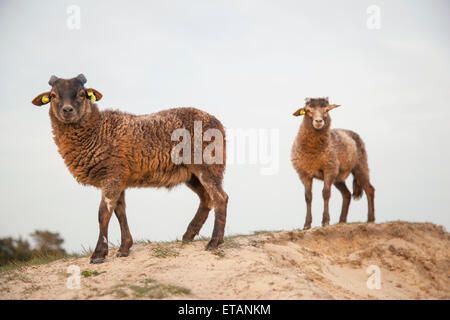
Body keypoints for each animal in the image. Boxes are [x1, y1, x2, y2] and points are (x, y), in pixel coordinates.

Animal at [31, 74, 229, 264]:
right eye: (53, 96)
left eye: (82, 94)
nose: (67, 110)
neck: (96, 129)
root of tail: (218, 124)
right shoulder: (119, 178)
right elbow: (120, 211)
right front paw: (124, 248)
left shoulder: (112, 174)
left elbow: (104, 213)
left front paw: (99, 254)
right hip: (191, 174)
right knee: (206, 199)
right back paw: (188, 235)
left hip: (207, 165)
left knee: (220, 198)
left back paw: (214, 242)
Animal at [290, 96, 374, 229]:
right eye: (308, 110)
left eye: (327, 110)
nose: (318, 121)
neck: (313, 153)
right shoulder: (304, 173)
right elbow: (308, 196)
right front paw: (307, 224)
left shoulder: (329, 169)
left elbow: (325, 193)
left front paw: (325, 221)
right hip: (338, 177)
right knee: (347, 194)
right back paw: (342, 221)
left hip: (360, 165)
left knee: (369, 189)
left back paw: (370, 219)